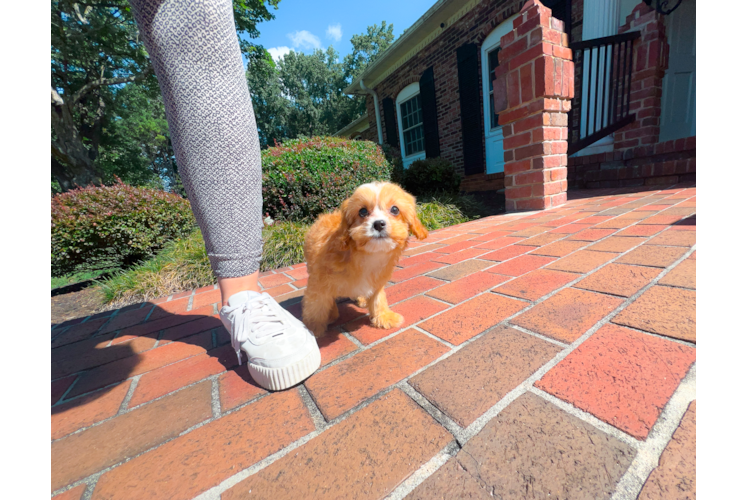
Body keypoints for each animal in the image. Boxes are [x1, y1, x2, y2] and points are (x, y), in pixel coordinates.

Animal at [298, 182, 426, 338]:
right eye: (363, 211)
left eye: (395, 209)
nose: (378, 224)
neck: (367, 255)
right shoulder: (319, 282)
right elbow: (316, 305)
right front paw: (313, 329)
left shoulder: (377, 281)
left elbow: (378, 298)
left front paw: (383, 316)